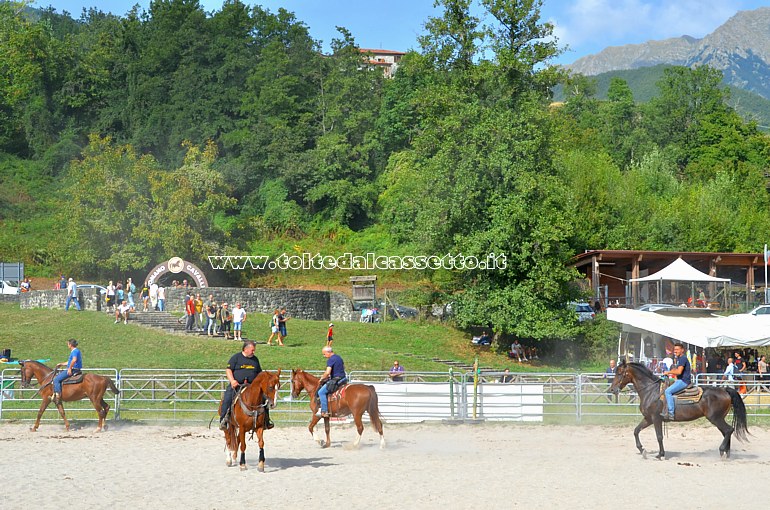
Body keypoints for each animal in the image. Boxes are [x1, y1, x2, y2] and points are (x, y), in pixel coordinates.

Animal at [608, 360, 744, 460]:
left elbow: (659, 436)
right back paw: (727, 454)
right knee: (726, 432)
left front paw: (660, 454)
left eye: (619, 373)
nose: (612, 389)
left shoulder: (656, 418)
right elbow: (636, 431)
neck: (651, 391)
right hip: (718, 418)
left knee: (729, 430)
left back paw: (722, 451)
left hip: (715, 418)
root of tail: (725, 390)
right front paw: (643, 451)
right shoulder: (648, 418)